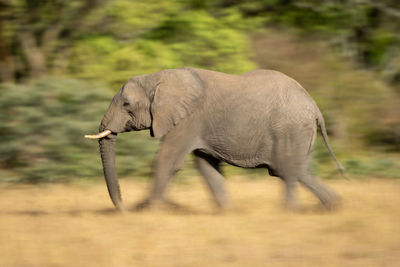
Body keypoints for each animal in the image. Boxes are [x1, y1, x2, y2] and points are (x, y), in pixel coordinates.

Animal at [86, 67, 342, 214]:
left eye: (126, 104)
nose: (126, 208)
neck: (158, 77)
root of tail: (315, 108)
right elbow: (206, 166)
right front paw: (227, 213)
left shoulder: (189, 118)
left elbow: (167, 159)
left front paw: (149, 211)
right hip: (297, 133)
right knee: (294, 170)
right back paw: (333, 206)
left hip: (289, 129)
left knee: (287, 172)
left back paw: (289, 212)